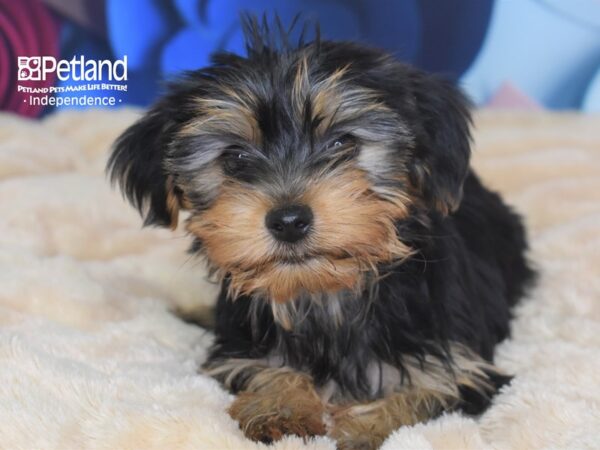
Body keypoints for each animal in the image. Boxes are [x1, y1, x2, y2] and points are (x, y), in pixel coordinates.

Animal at [106, 17, 536, 450]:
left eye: (343, 142)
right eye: (235, 157)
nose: (289, 220)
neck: (322, 292)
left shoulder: (461, 368)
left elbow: (421, 396)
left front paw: (366, 429)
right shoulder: (240, 352)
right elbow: (264, 367)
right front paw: (280, 407)